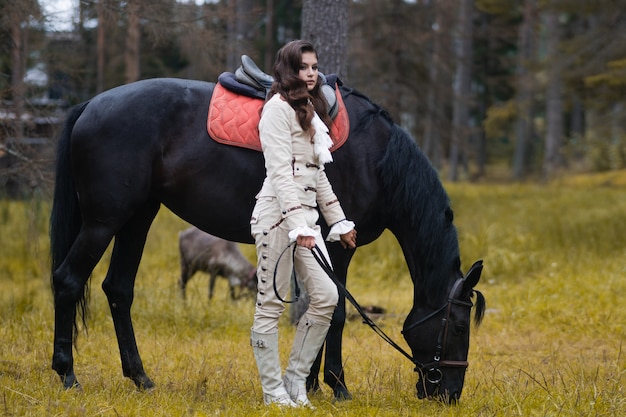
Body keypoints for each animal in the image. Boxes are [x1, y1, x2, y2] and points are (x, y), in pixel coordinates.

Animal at [51, 76, 486, 402]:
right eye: (458, 327)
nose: (449, 393)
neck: (377, 158)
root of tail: (91, 104)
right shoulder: (339, 244)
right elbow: (337, 312)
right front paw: (338, 387)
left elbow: (319, 307)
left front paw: (310, 382)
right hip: (104, 221)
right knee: (68, 280)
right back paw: (68, 374)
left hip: (137, 218)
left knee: (118, 290)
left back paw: (140, 377)